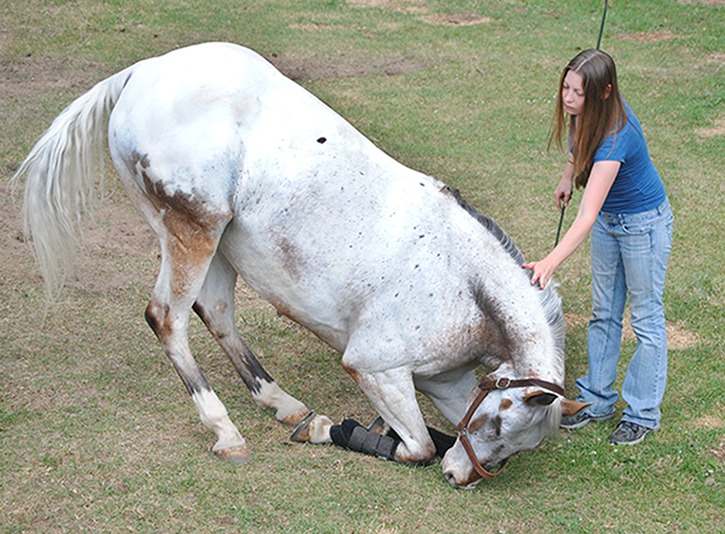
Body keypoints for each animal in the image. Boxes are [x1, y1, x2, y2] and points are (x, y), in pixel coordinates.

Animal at [12, 42, 586, 488]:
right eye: (495, 428)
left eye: (514, 443)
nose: (459, 477)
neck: (464, 282)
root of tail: (144, 69)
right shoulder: (376, 368)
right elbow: (418, 446)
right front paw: (338, 432)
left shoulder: (444, 383)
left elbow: (431, 430)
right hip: (195, 231)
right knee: (168, 318)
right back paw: (226, 431)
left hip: (213, 240)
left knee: (214, 312)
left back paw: (279, 402)